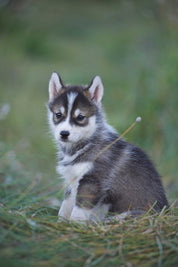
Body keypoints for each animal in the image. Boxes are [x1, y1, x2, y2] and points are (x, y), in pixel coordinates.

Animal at [47, 72, 168, 223]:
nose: (64, 133)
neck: (85, 145)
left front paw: (74, 225)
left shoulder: (92, 181)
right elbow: (65, 206)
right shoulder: (72, 181)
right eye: (58, 115)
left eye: (80, 117)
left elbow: (79, 209)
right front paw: (60, 223)